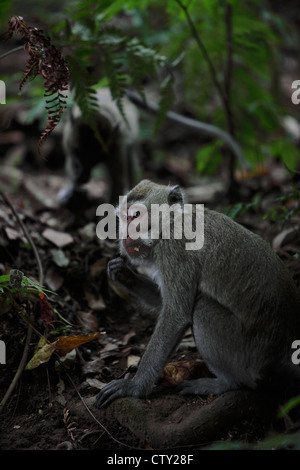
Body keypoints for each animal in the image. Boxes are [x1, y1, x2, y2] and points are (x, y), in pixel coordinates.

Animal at [94, 180, 300, 408]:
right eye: (123, 217)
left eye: (136, 215)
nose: (125, 234)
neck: (170, 223)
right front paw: (123, 273)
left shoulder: (175, 248)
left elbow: (176, 315)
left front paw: (134, 387)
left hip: (248, 353)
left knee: (202, 309)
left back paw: (227, 383)